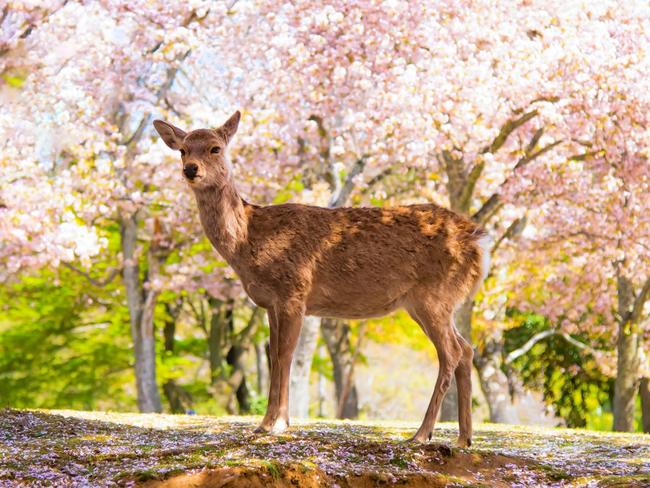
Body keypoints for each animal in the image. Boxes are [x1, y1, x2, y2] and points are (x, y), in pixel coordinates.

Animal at [152, 112, 486, 448]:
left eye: (215, 148)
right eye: (182, 150)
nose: (190, 169)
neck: (249, 240)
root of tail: (475, 240)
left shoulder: (294, 291)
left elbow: (284, 355)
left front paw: (276, 423)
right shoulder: (270, 303)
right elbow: (274, 356)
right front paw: (268, 423)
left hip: (434, 295)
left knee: (451, 352)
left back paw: (421, 434)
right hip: (432, 302)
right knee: (466, 349)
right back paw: (463, 438)